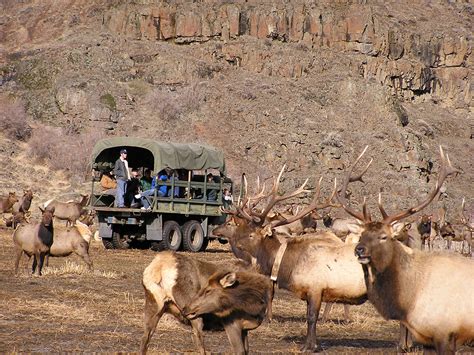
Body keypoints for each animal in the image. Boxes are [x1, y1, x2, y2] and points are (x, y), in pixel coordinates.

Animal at [214, 170, 366, 354]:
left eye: (251, 234)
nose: (237, 245)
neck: (287, 265)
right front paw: (313, 344)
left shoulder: (315, 288)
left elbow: (311, 317)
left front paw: (308, 346)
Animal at [336, 146, 470, 354]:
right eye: (362, 234)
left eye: (384, 236)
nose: (359, 250)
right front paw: (403, 345)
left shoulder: (445, 331)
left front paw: (405, 345)